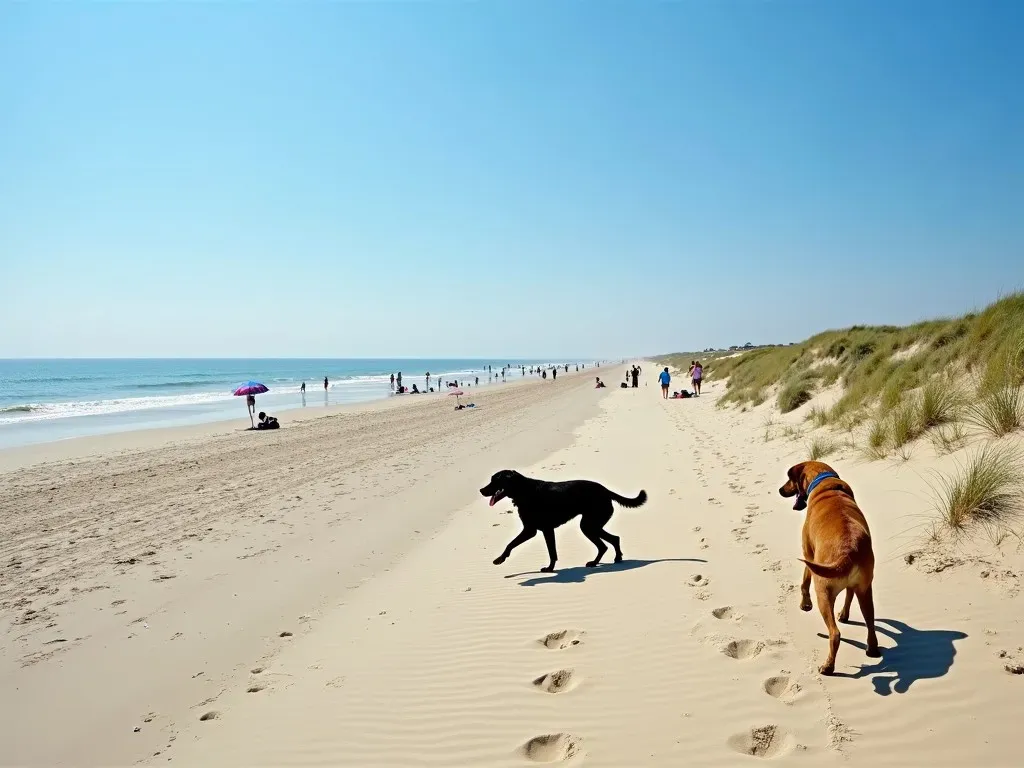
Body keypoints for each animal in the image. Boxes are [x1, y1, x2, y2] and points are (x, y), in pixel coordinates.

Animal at [481, 468, 647, 573]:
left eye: (494, 480)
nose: (481, 490)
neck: (523, 491)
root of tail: (606, 490)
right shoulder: (540, 530)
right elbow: (550, 551)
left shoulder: (534, 530)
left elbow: (512, 544)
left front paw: (500, 559)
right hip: (592, 525)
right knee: (611, 540)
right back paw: (610, 560)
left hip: (588, 525)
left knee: (606, 543)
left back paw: (604, 561)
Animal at [774, 462, 880, 671]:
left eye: (790, 480)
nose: (781, 490)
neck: (825, 482)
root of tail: (849, 551)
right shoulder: (854, 585)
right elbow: (849, 596)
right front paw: (844, 614)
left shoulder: (809, 554)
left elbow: (804, 581)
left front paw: (805, 604)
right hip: (865, 590)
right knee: (870, 620)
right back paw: (872, 649)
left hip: (822, 591)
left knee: (835, 633)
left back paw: (828, 666)